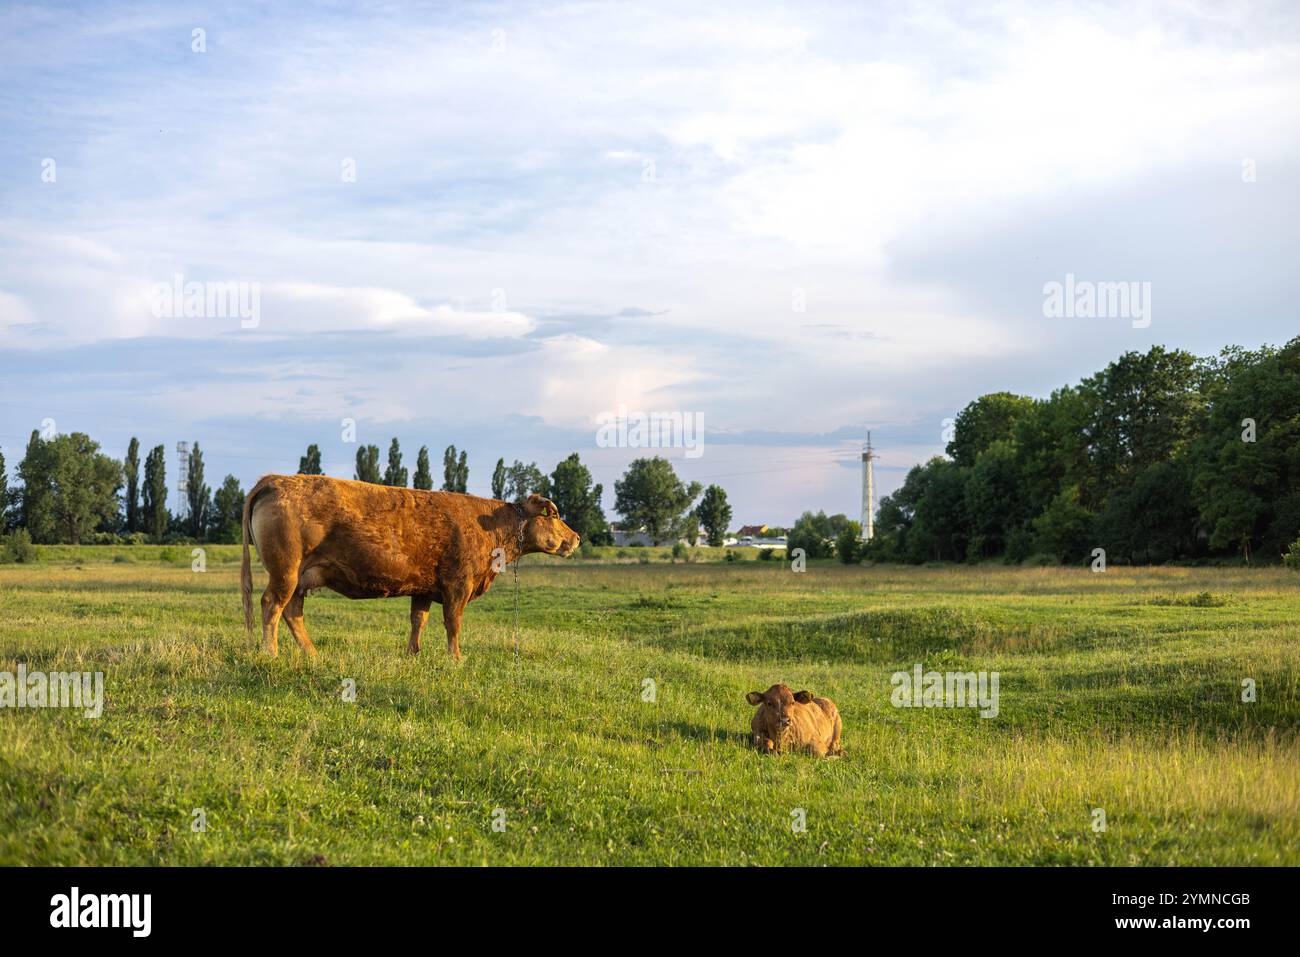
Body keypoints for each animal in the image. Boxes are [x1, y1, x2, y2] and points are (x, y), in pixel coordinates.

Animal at [240, 473, 581, 659]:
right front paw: (456, 658)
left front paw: (413, 654)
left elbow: (419, 620)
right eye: (552, 514)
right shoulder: (458, 585)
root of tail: (274, 479)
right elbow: (453, 624)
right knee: (272, 604)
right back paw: (272, 653)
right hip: (286, 570)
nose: (576, 538)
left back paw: (312, 654)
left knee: (292, 612)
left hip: (301, 577)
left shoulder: (425, 588)